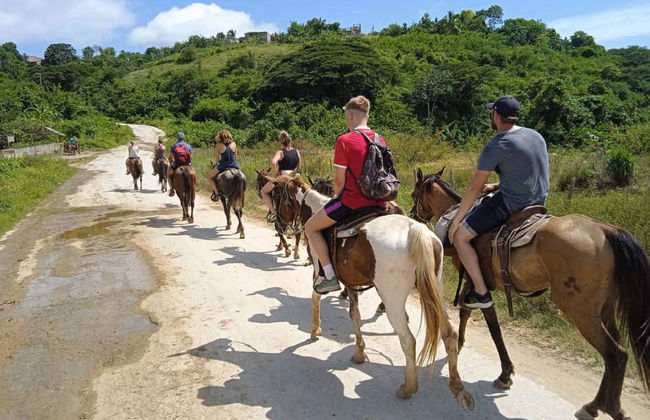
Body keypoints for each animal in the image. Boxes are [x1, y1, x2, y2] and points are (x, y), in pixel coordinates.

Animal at [273, 173, 474, 409]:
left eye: (276, 195)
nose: (277, 223)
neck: (314, 208)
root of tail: (417, 233)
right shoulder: (351, 282)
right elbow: (355, 315)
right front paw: (359, 352)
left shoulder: (318, 269)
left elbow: (316, 297)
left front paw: (315, 329)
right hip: (435, 291)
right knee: (449, 333)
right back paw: (457, 386)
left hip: (393, 299)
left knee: (408, 340)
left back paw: (408, 387)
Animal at [410, 168, 650, 420]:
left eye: (415, 194)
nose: (414, 215)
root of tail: (606, 230)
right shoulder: (471, 280)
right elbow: (466, 311)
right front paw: (460, 344)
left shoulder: (477, 282)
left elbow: (492, 325)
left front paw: (505, 373)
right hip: (605, 310)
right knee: (616, 355)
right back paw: (600, 406)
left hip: (581, 312)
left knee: (615, 355)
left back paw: (605, 407)